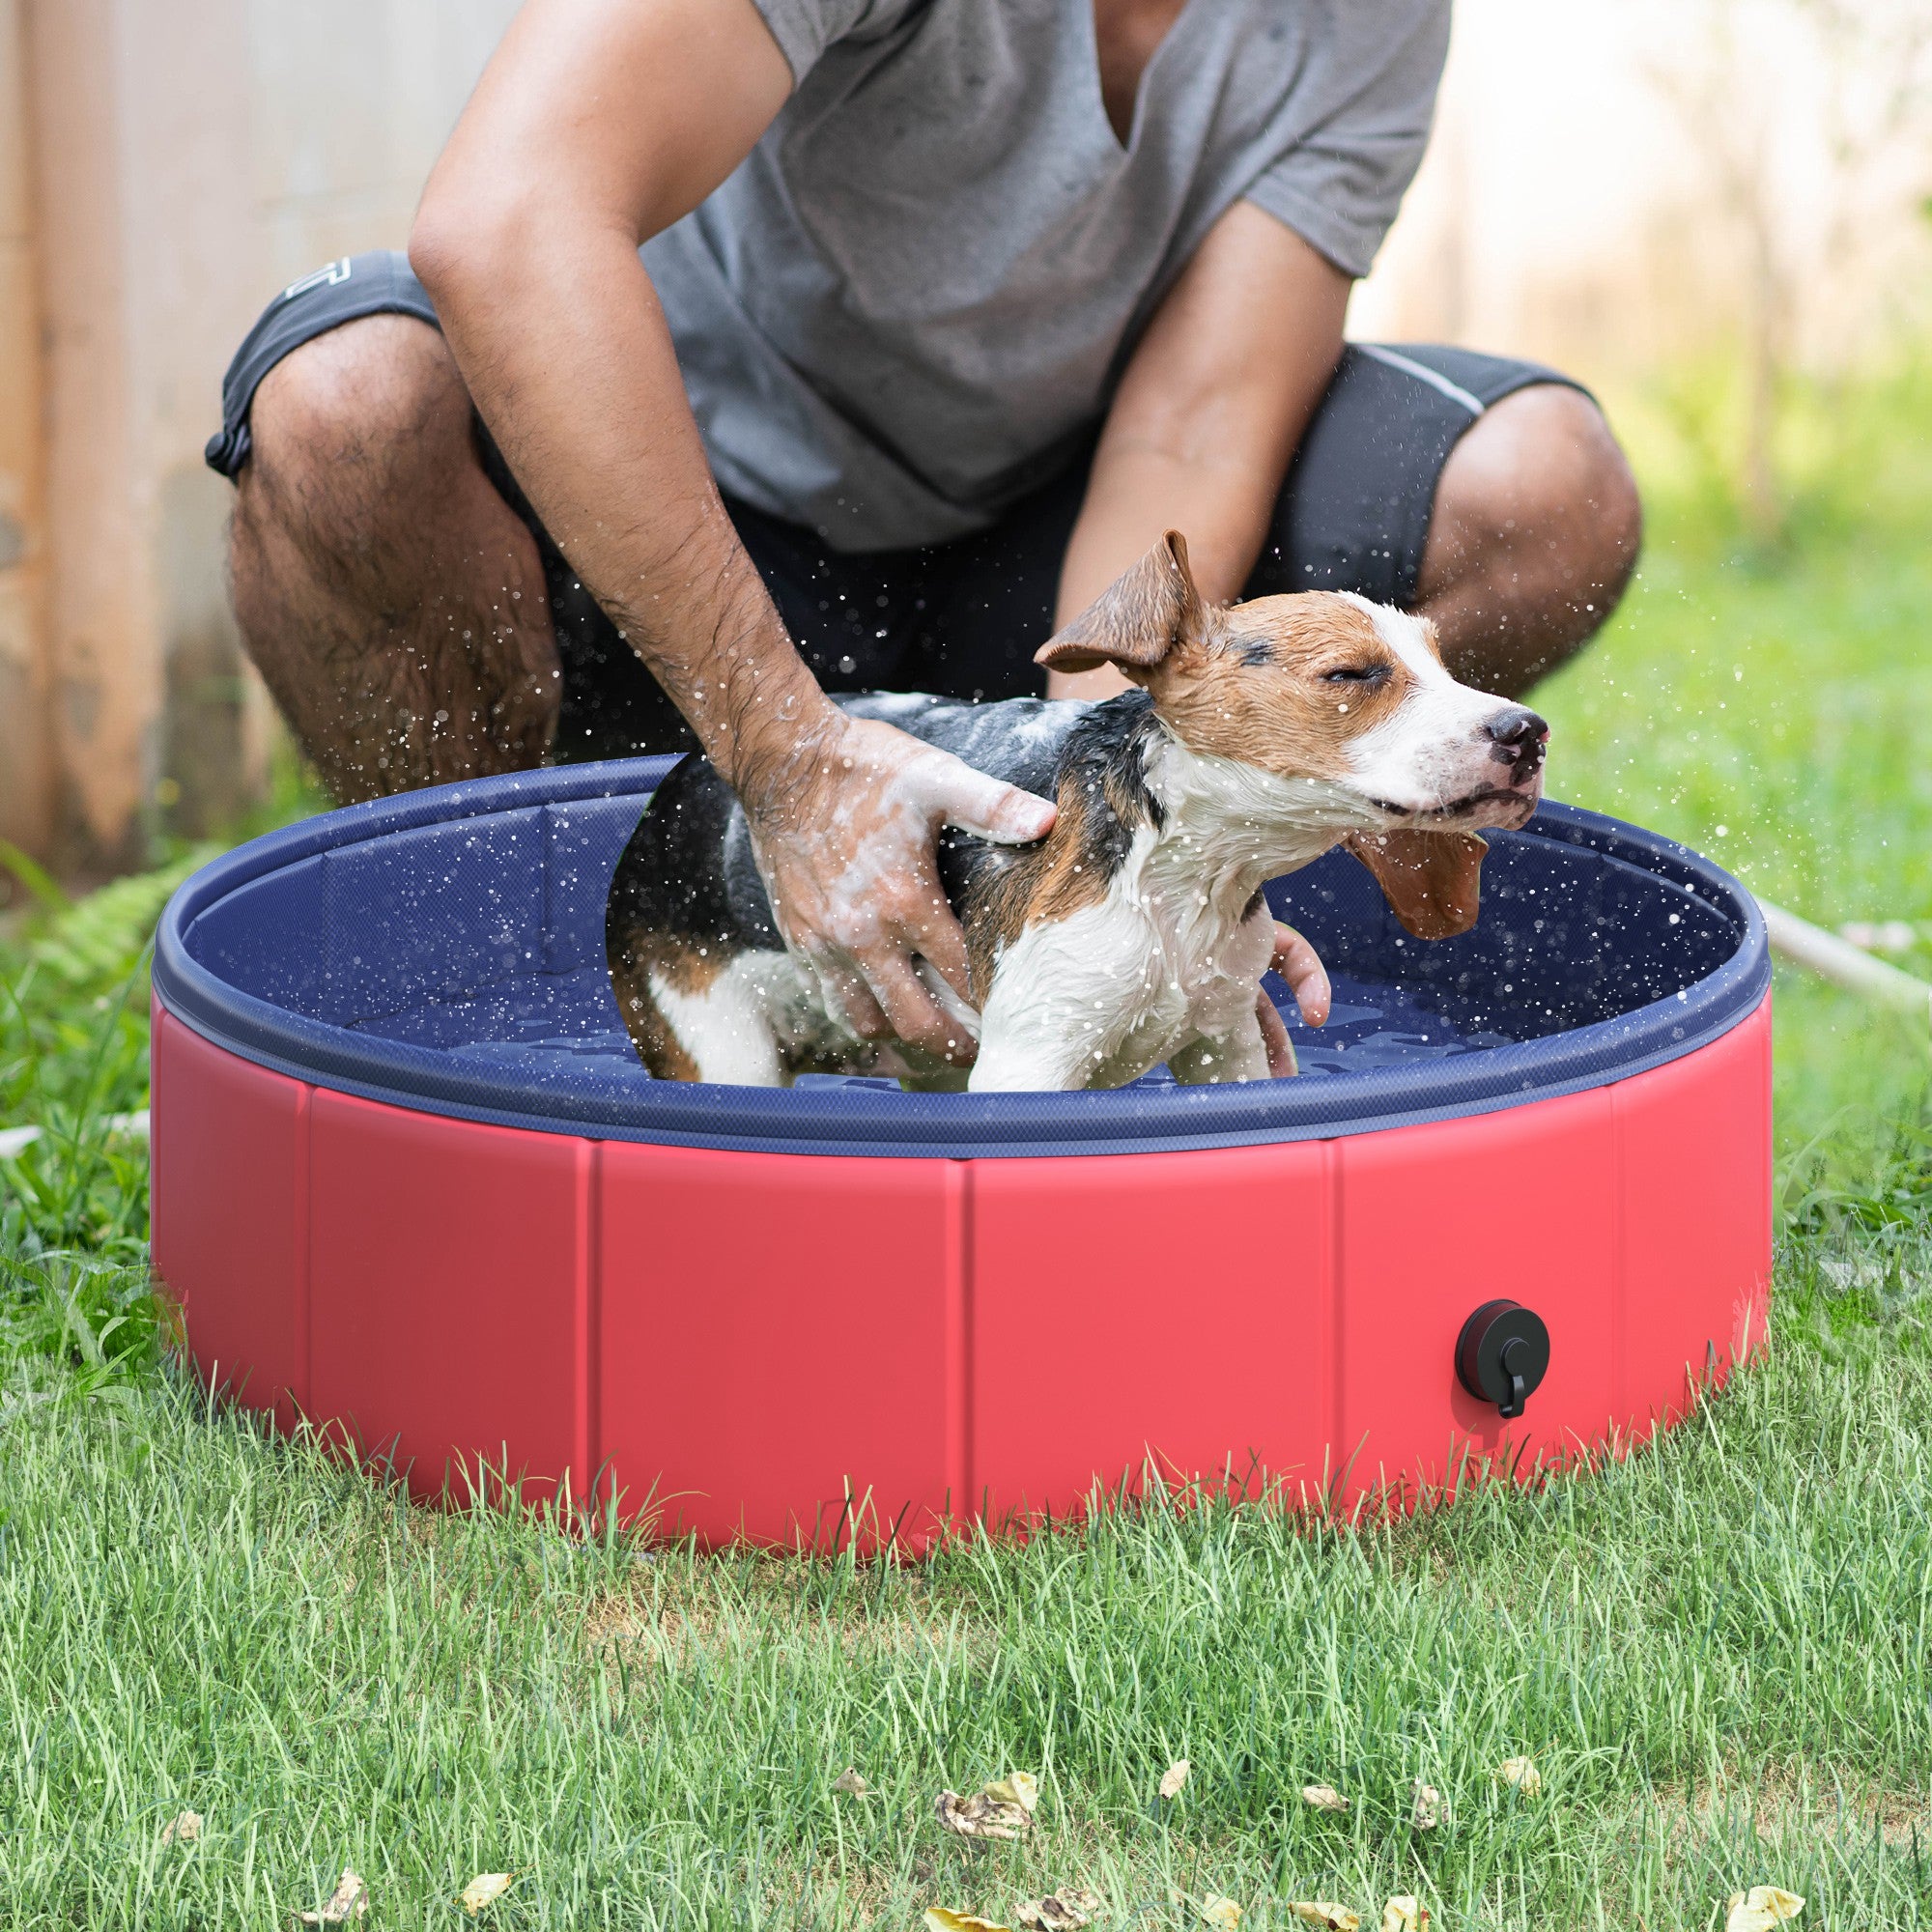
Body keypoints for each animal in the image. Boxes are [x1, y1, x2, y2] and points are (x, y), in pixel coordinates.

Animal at [611, 529, 1546, 1097]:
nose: (1527, 733)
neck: (1182, 878)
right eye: (1350, 675)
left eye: (1444, 663)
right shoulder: (1032, 1059)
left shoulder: (1224, 1045)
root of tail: (680, 782)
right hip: (715, 1040)